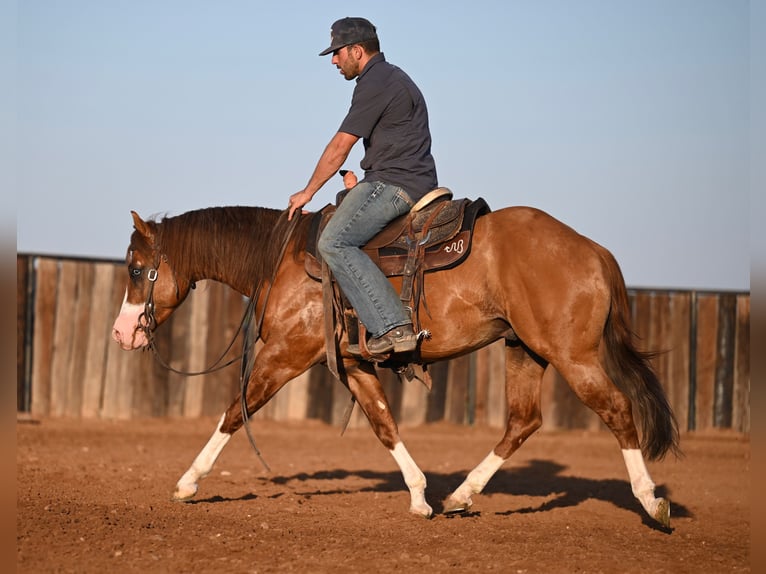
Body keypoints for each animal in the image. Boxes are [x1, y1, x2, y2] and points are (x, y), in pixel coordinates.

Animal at [111, 205, 680, 528]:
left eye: (137, 269)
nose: (121, 333)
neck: (284, 259)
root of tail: (594, 251)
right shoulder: (355, 367)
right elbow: (384, 423)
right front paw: (421, 497)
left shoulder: (283, 355)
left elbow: (234, 412)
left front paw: (188, 483)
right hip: (525, 349)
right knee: (523, 422)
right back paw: (461, 496)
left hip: (572, 356)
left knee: (618, 410)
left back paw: (651, 502)